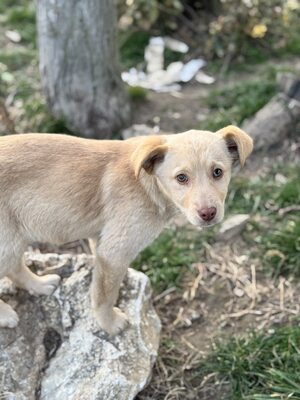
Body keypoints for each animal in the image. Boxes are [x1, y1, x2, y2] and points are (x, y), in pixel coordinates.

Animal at [0, 125, 253, 334]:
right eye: (181, 178)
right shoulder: (114, 252)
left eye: (218, 172)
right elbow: (104, 294)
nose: (208, 213)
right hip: (8, 240)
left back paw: (39, 285)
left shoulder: (100, 239)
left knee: (14, 267)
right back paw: (6, 314)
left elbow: (103, 284)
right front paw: (109, 323)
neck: (147, 183)